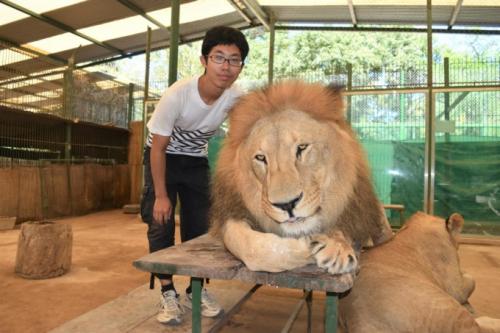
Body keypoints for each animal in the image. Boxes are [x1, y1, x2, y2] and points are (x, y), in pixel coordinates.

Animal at [209, 80, 392, 280]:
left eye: (302, 148)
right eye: (261, 158)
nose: (287, 205)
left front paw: (336, 247)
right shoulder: (231, 214)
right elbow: (251, 246)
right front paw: (313, 243)